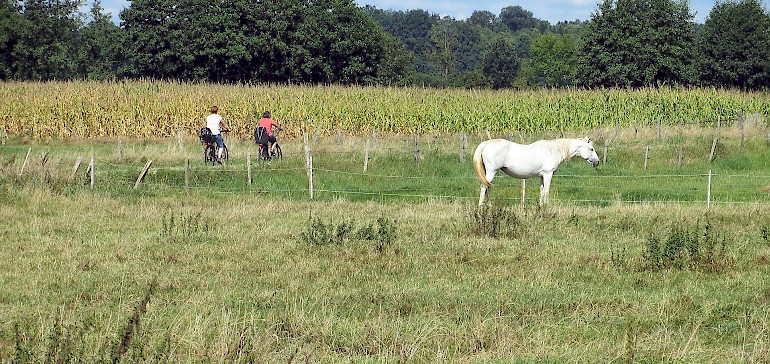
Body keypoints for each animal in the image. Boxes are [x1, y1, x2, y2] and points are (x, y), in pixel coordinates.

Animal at [468, 137, 600, 206]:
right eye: (591, 149)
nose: (597, 162)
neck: (553, 150)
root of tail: (486, 143)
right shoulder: (548, 174)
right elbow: (546, 191)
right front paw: (546, 208)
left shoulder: (542, 176)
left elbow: (541, 191)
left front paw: (541, 207)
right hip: (491, 171)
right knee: (484, 187)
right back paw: (481, 207)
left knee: (488, 187)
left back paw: (489, 206)